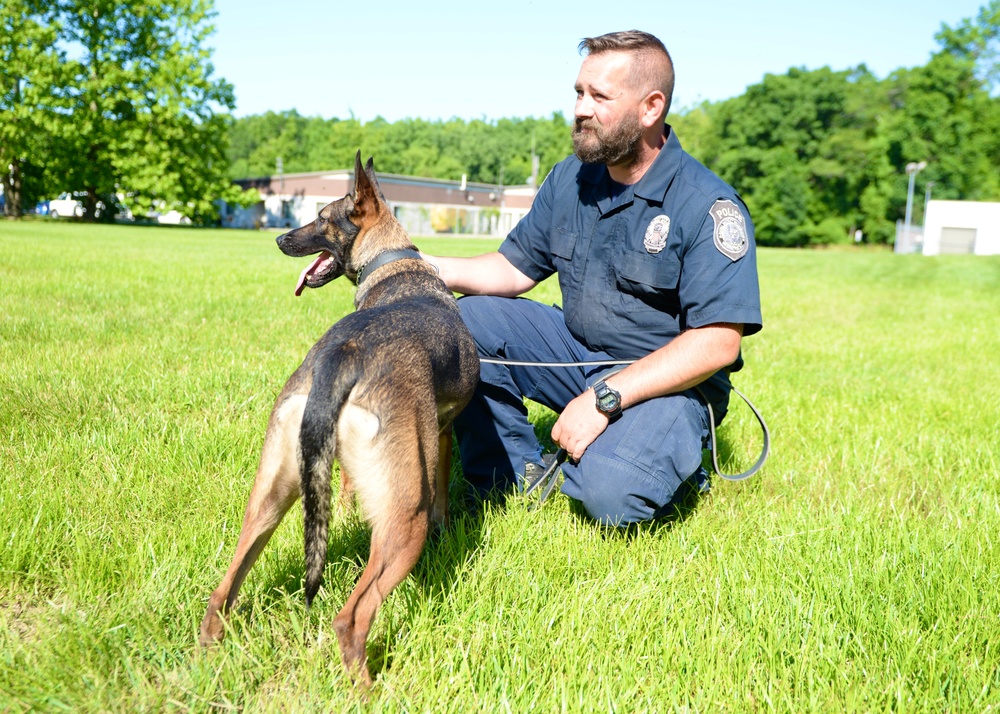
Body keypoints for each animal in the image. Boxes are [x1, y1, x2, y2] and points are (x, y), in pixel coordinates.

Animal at [199, 150, 480, 684]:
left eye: (321, 218)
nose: (279, 239)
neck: (397, 266)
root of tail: (342, 356)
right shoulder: (445, 434)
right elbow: (443, 494)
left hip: (270, 496)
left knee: (222, 590)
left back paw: (208, 653)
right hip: (404, 519)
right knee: (351, 619)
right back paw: (371, 689)